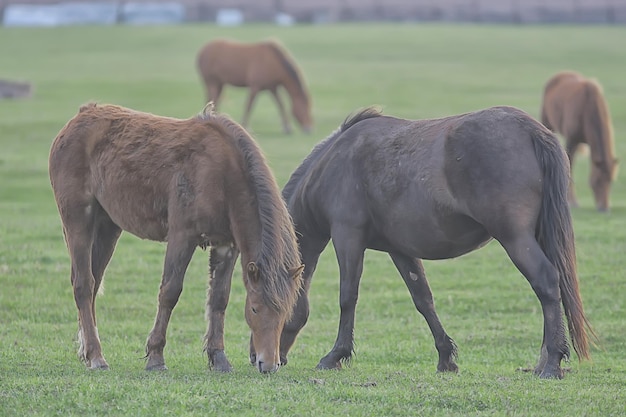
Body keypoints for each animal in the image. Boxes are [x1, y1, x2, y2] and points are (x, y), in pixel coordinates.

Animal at [48, 101, 302, 374]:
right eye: (254, 308)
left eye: (285, 313)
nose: (269, 364)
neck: (222, 173)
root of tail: (81, 116)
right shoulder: (182, 236)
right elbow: (170, 292)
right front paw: (155, 356)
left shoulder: (227, 245)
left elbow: (219, 298)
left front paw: (218, 357)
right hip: (78, 220)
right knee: (84, 284)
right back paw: (96, 356)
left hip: (107, 226)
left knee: (94, 282)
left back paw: (86, 351)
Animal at [276, 105, 592, 378]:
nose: (270, 359)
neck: (332, 164)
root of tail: (531, 130)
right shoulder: (400, 250)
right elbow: (423, 299)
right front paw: (445, 357)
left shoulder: (347, 236)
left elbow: (347, 296)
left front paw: (335, 355)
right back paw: (543, 361)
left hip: (515, 239)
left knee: (546, 282)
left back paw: (552, 362)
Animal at [540, 70, 616, 211]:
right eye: (598, 181)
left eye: (610, 180)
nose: (604, 208)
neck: (587, 107)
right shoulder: (572, 140)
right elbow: (570, 167)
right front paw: (572, 201)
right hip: (547, 123)